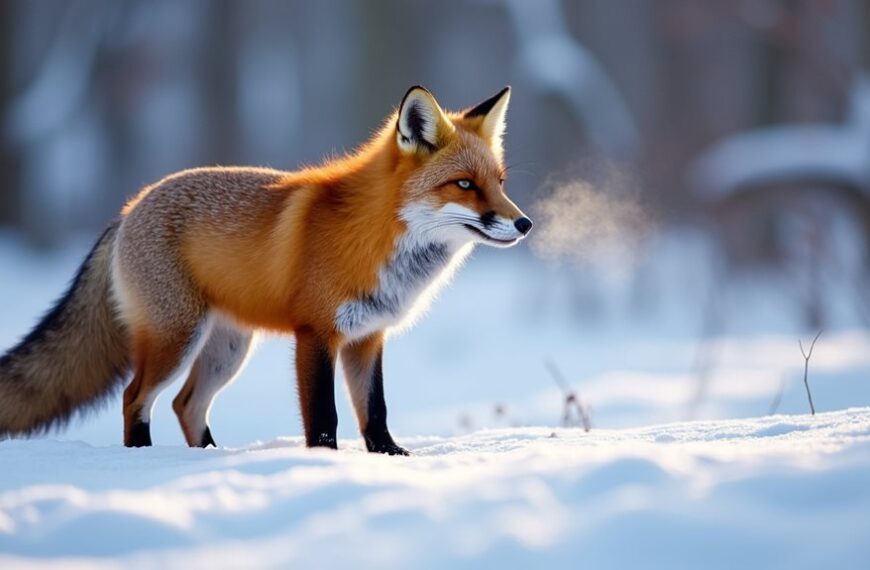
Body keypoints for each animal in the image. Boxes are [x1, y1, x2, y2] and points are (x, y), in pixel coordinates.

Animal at [0, 86, 532, 454]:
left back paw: (210, 457)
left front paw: (389, 458)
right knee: (136, 397)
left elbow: (374, 411)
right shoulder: (315, 333)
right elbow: (324, 417)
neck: (376, 237)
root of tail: (129, 208)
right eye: (464, 184)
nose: (524, 223)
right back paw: (143, 458)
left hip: (228, 348)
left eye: (500, 182)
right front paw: (324, 464)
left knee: (184, 404)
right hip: (176, 338)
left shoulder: (368, 337)